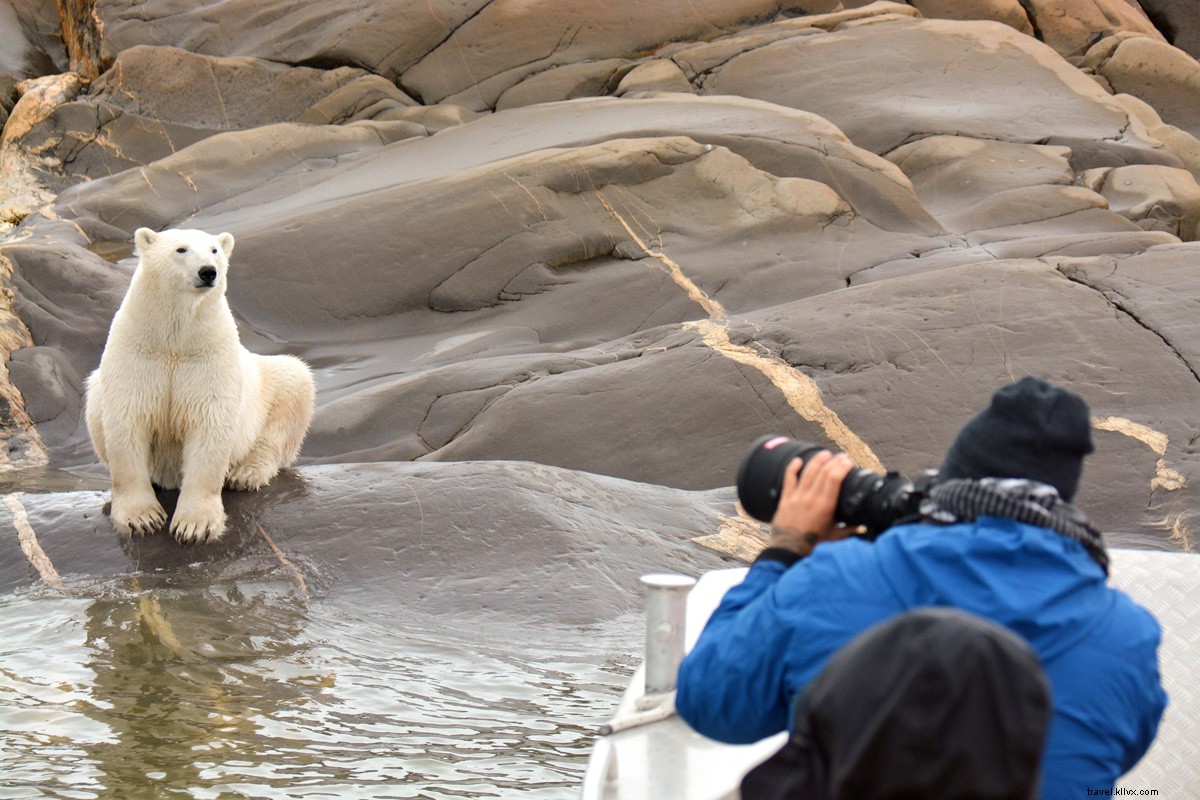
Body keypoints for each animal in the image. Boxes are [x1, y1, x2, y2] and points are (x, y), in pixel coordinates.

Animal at [85, 227, 315, 544]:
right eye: (181, 249)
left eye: (214, 250)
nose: (208, 271)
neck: (175, 338)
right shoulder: (137, 352)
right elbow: (128, 419)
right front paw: (142, 518)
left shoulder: (209, 357)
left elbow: (209, 423)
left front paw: (195, 525)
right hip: (97, 389)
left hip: (266, 383)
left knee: (293, 383)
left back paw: (246, 473)